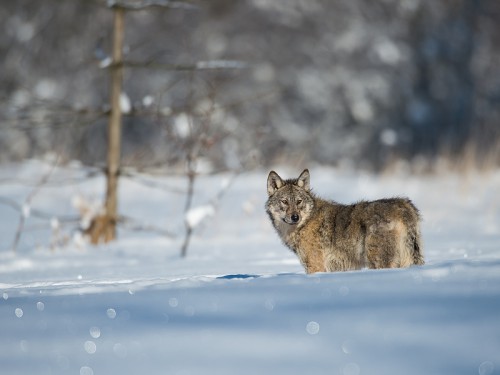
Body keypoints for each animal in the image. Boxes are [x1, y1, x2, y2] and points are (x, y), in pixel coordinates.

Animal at [264, 170, 424, 274]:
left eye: (298, 202)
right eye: (284, 202)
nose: (295, 217)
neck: (304, 224)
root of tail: (404, 205)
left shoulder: (315, 267)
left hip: (378, 262)